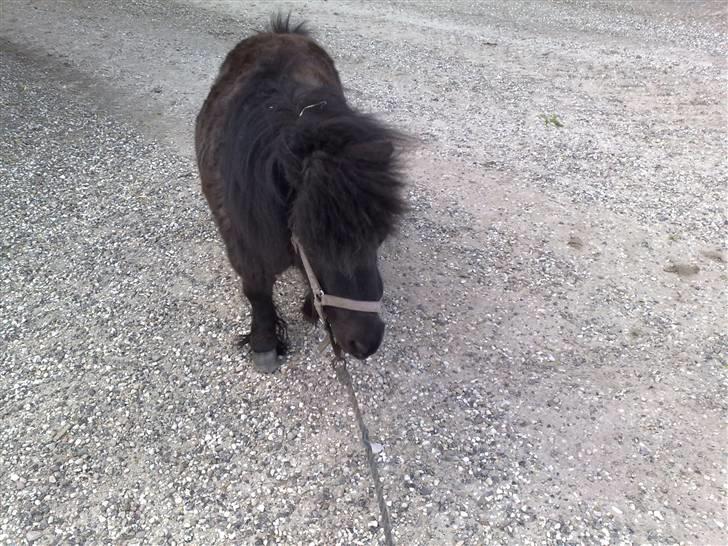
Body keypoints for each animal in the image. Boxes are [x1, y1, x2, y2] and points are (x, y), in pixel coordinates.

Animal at [194, 14, 406, 372]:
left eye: (379, 238)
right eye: (313, 243)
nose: (366, 343)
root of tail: (281, 32)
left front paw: (311, 309)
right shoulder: (243, 244)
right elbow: (256, 291)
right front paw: (264, 344)